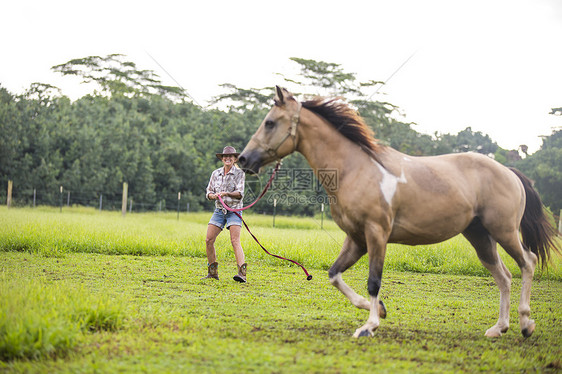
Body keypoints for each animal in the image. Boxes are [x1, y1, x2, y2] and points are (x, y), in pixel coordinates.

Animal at [235, 86, 556, 338]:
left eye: (270, 123)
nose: (243, 160)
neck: (357, 169)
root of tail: (510, 172)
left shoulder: (377, 234)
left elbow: (373, 280)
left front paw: (369, 326)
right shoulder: (356, 238)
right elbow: (334, 275)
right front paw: (378, 309)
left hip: (504, 231)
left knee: (527, 262)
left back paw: (526, 324)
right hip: (480, 237)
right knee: (504, 277)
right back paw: (498, 328)